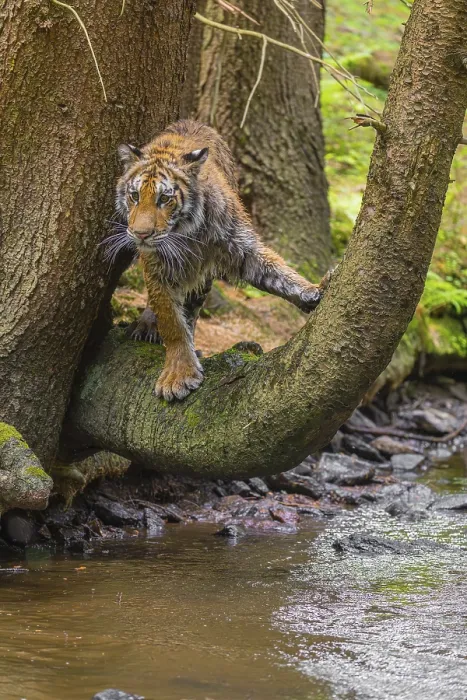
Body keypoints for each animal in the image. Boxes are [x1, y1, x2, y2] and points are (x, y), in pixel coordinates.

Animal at [112, 120, 329, 401]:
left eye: (164, 198)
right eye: (135, 196)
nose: (140, 234)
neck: (184, 234)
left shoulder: (240, 247)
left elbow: (277, 271)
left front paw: (315, 290)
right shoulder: (156, 268)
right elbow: (172, 323)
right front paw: (179, 374)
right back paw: (147, 325)